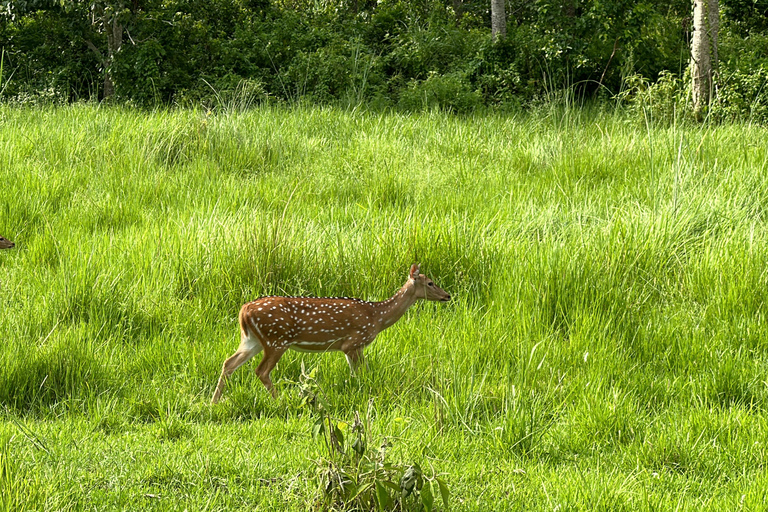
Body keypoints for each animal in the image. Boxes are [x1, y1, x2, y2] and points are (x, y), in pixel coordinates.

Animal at [210, 264, 450, 404]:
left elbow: (357, 374)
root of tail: (244, 310)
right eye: (430, 282)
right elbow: (362, 372)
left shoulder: (350, 347)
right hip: (276, 339)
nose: (447, 295)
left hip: (252, 340)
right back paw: (280, 400)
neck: (377, 317)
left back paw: (214, 401)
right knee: (261, 371)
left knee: (229, 363)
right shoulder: (354, 342)